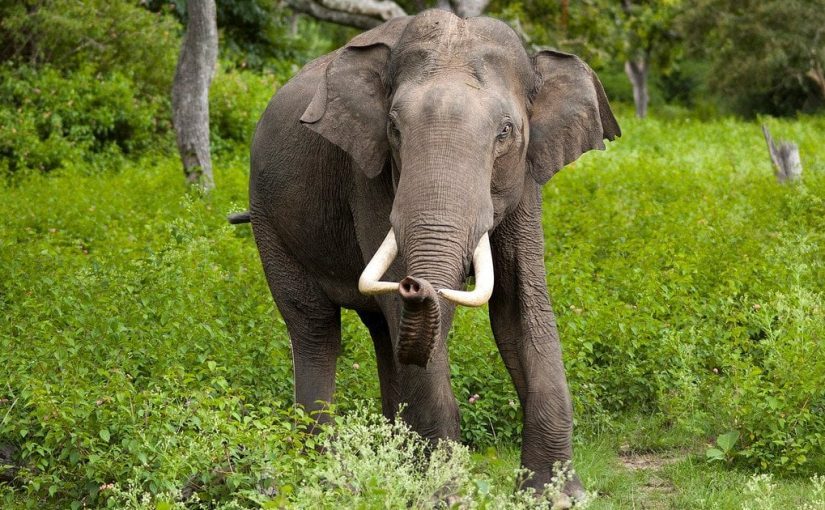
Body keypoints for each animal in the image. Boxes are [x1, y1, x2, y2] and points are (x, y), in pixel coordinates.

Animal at [235, 9, 620, 500]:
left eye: (505, 132)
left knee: (382, 333)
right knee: (316, 327)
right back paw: (324, 472)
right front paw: (446, 495)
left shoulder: (526, 177)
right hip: (268, 220)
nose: (415, 283)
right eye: (395, 129)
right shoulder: (370, 175)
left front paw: (557, 496)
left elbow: (520, 308)